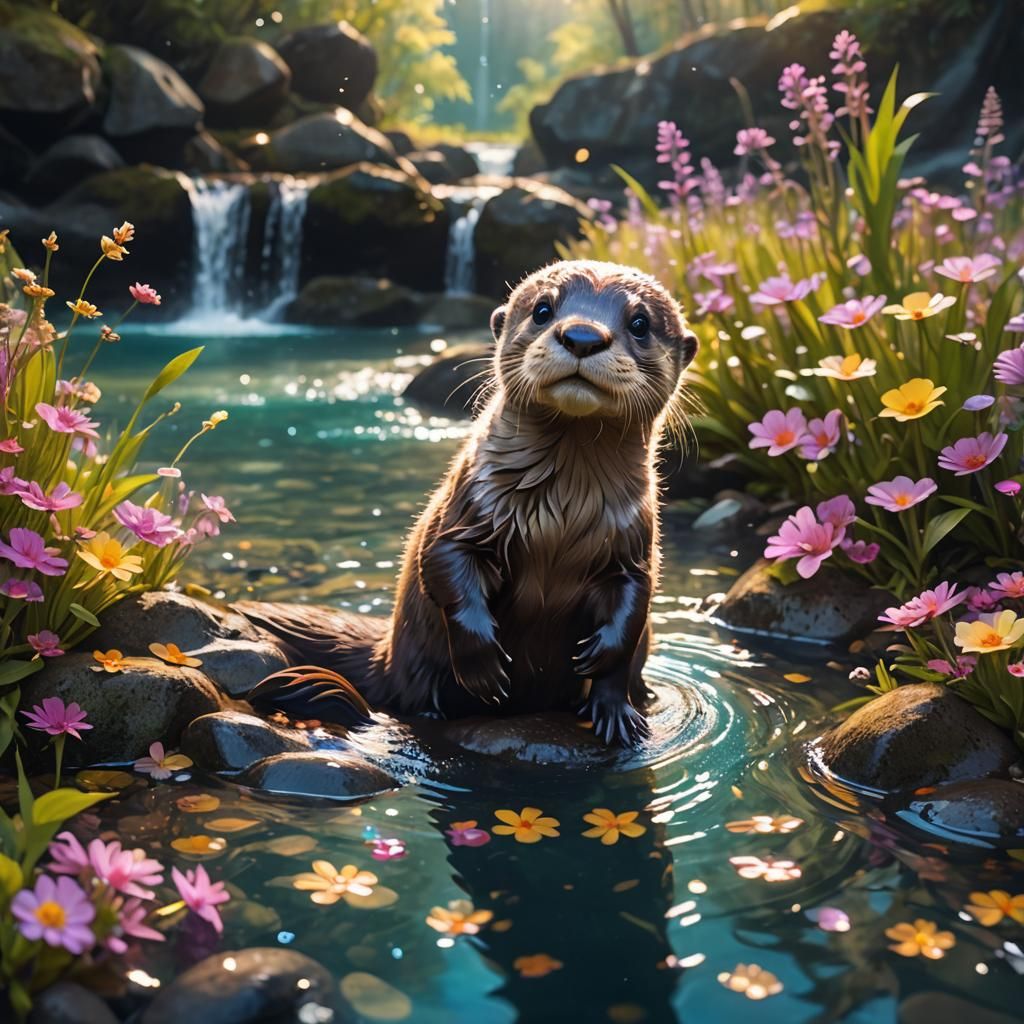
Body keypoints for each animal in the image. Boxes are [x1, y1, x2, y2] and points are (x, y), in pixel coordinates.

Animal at [241, 260, 698, 746]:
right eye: (542, 309)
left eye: (640, 323)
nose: (583, 336)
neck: (562, 518)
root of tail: (386, 655)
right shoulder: (464, 512)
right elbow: (448, 570)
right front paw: (483, 667)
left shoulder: (633, 544)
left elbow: (630, 616)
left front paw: (611, 696)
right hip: (413, 666)